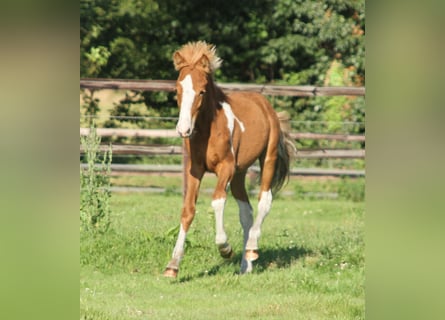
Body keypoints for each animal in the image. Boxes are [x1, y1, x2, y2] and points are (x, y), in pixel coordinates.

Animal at [163, 42, 294, 278]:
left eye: (202, 91)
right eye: (177, 90)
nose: (183, 129)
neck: (209, 130)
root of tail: (266, 105)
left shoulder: (226, 167)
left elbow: (217, 200)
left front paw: (224, 247)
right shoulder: (195, 170)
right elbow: (188, 210)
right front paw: (173, 266)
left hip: (267, 158)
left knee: (264, 200)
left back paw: (251, 249)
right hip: (240, 173)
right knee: (246, 212)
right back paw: (245, 266)